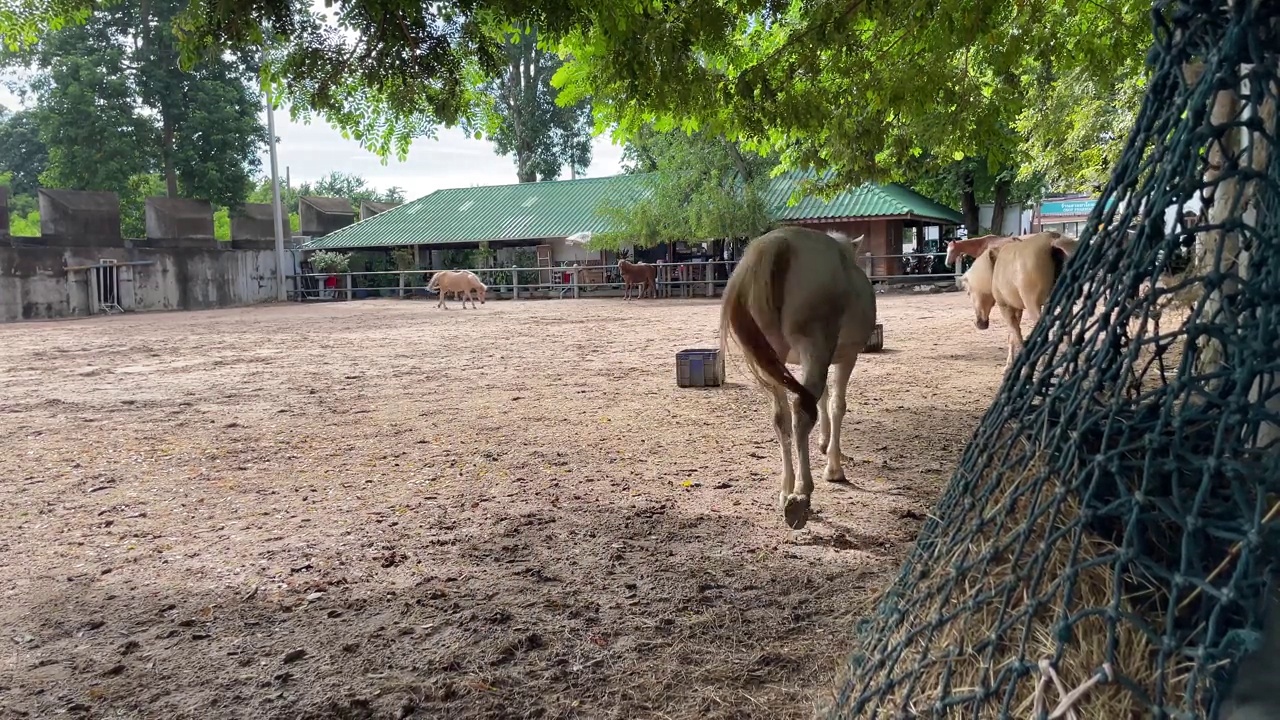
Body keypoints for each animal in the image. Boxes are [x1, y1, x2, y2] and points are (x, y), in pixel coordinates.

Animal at [721, 226, 880, 530]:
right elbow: (837, 405)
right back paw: (802, 493)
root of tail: (781, 242)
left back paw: (787, 489)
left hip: (773, 358)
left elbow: (824, 399)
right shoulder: (845, 358)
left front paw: (824, 443)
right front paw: (834, 467)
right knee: (802, 413)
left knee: (781, 417)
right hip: (813, 348)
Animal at [962, 230, 1080, 366]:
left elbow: (1017, 334)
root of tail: (1052, 241)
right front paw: (1009, 364)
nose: (979, 323)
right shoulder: (1017, 309)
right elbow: (1013, 335)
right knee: (1067, 335)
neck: (995, 265)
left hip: (1033, 307)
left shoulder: (1005, 308)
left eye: (969, 293)